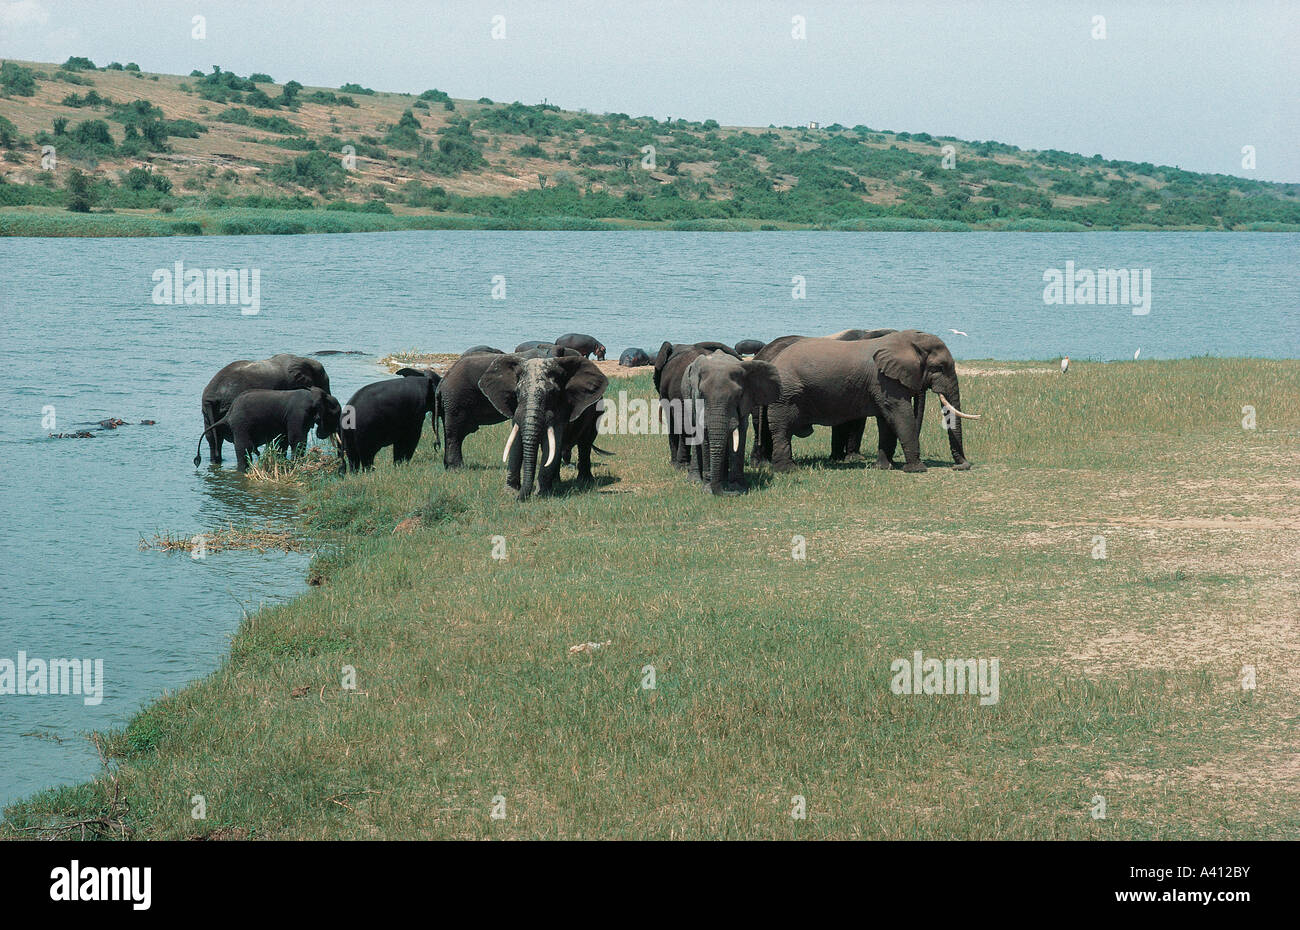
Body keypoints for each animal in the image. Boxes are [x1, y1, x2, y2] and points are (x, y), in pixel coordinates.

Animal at [195, 385, 343, 473]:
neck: (314, 395)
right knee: (244, 448)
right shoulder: (298, 414)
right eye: (335, 414)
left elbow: (283, 441)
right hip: (240, 425)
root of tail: (228, 414)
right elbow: (297, 440)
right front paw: (296, 464)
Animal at [198, 353, 330, 465]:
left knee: (213, 437)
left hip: (207, 411)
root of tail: (211, 397)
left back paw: (216, 461)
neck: (302, 360)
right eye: (324, 384)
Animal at [478, 353, 608, 502]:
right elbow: (516, 442)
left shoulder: (561, 409)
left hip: (596, 414)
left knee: (584, 444)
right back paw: (557, 482)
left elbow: (550, 442)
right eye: (517, 392)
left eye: (552, 393)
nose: (520, 498)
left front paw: (541, 494)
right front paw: (510, 492)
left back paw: (584, 481)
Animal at [681, 351, 780, 494]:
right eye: (702, 395)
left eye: (738, 396)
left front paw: (738, 487)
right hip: (686, 392)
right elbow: (704, 437)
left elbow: (741, 432)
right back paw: (695, 480)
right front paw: (707, 489)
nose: (728, 494)